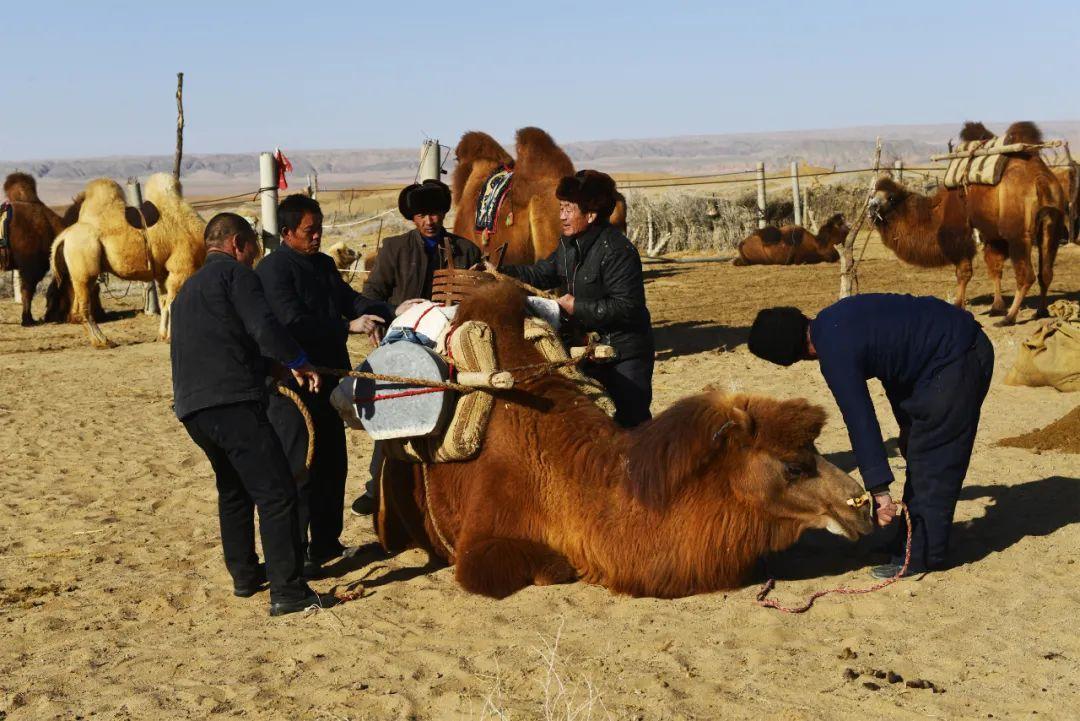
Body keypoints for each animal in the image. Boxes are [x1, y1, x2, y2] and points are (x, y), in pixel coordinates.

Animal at [47, 171, 206, 345]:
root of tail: (65, 235)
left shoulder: (163, 273)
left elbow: (164, 302)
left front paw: (163, 336)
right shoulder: (181, 268)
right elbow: (172, 303)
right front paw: (170, 338)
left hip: (79, 273)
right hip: (84, 267)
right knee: (83, 307)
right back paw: (103, 342)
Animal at [864, 122, 1067, 325]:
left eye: (890, 198)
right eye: (873, 195)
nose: (871, 208)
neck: (938, 210)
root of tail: (1040, 180)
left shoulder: (958, 233)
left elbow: (964, 272)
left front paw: (958, 304)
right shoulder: (993, 235)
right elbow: (995, 267)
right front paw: (996, 307)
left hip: (1018, 234)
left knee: (1026, 275)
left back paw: (1009, 318)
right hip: (1052, 225)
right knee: (1046, 272)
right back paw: (1040, 312)